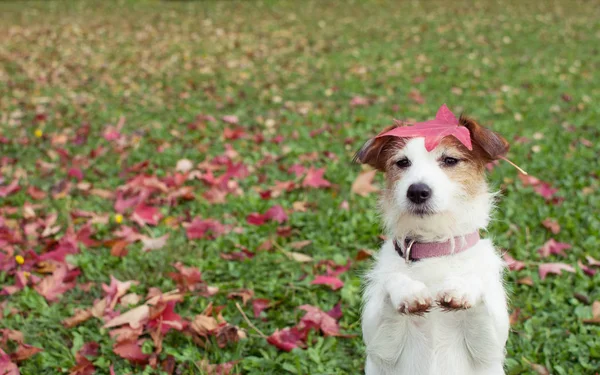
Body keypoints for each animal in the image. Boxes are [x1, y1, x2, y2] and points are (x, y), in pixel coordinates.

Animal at [356, 109, 510, 375]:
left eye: (449, 160)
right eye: (402, 162)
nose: (417, 191)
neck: (434, 249)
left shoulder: (488, 351)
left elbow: (478, 288)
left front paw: (462, 287)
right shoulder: (381, 351)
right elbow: (391, 283)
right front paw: (407, 291)